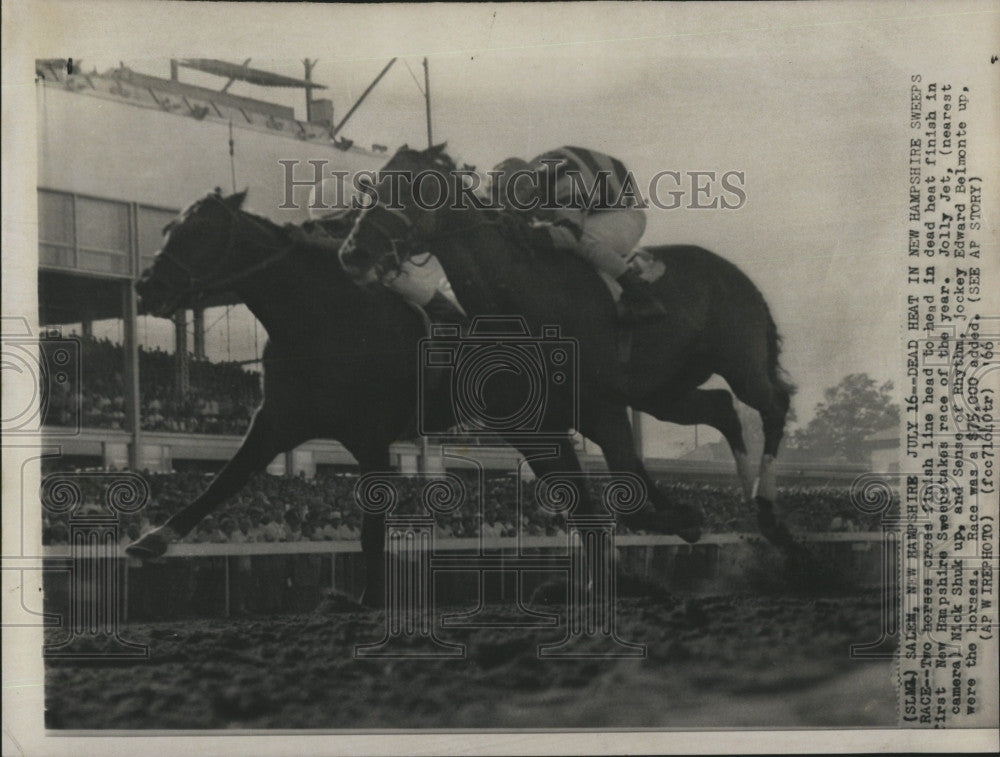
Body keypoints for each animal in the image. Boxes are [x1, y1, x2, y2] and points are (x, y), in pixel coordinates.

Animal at [127, 149, 796, 596]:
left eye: (199, 231)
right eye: (168, 227)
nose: (146, 286)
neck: (324, 314)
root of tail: (736, 274)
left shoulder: (373, 435)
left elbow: (371, 530)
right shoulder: (282, 419)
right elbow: (225, 479)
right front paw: (150, 539)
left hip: (729, 362)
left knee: (770, 403)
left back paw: (765, 513)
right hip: (657, 393)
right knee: (715, 413)